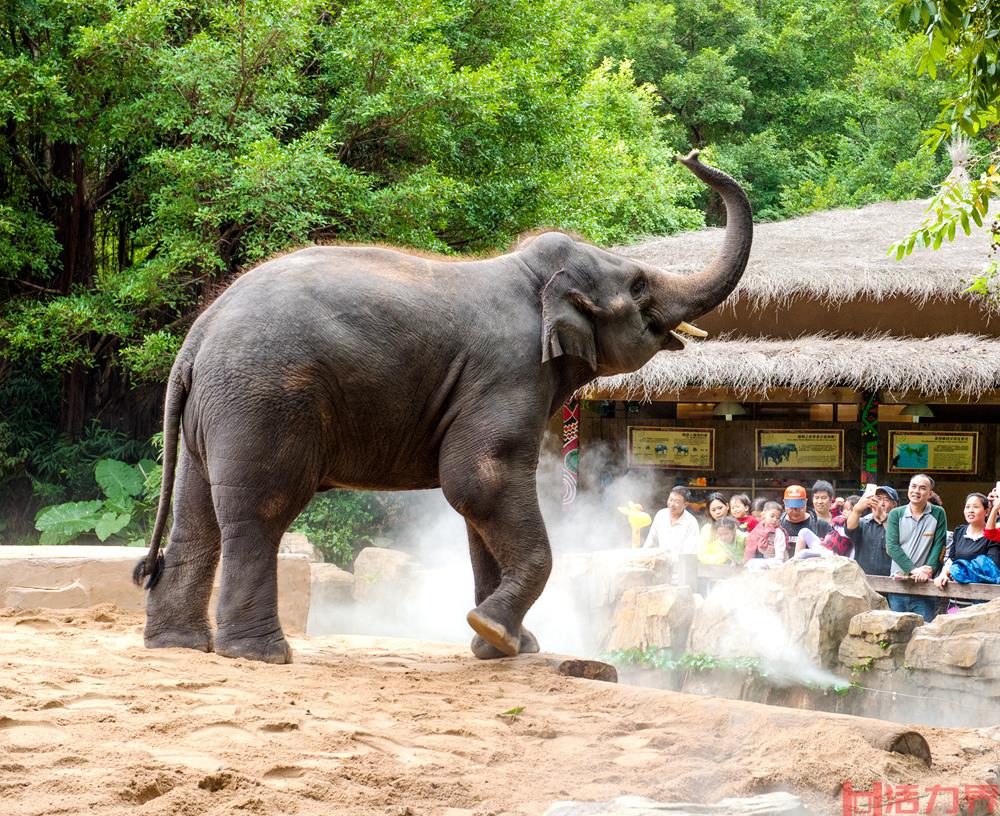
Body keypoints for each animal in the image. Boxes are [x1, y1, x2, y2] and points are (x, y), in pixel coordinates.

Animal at [135, 151, 752, 664]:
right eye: (640, 285)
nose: (691, 155)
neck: (530, 276)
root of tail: (197, 335)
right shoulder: (508, 370)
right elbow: (479, 481)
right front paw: (495, 631)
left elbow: (481, 506)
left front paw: (505, 647)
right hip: (263, 398)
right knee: (260, 509)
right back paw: (260, 655)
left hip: (216, 409)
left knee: (197, 513)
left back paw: (180, 645)